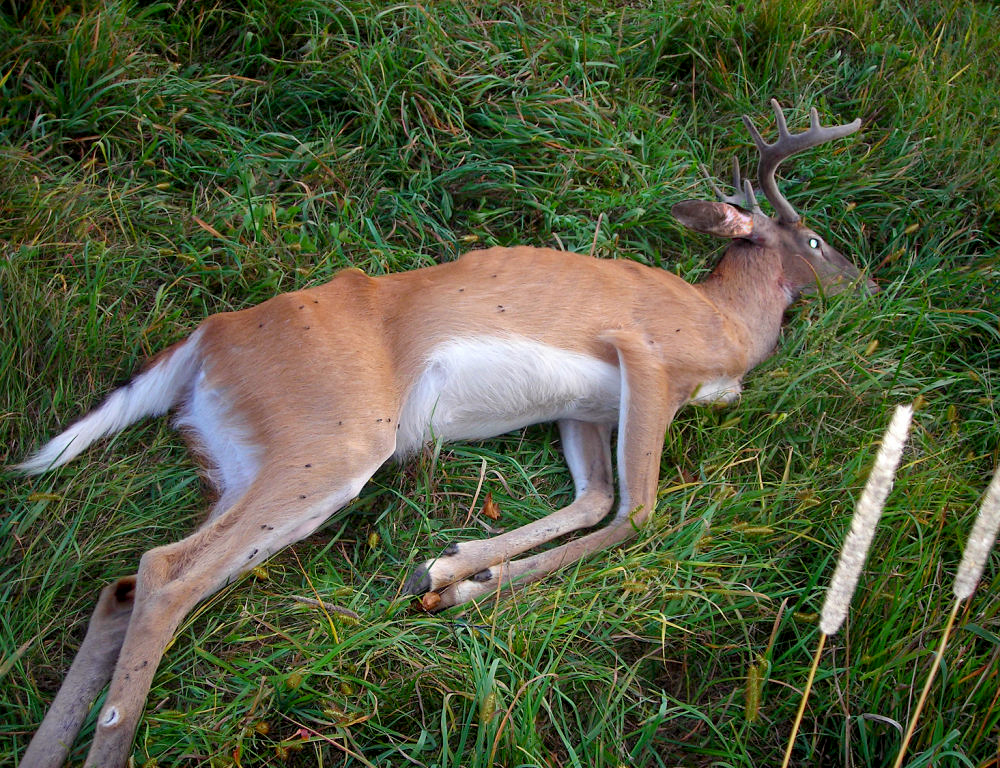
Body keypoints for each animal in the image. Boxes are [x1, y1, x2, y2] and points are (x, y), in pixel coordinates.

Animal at [13, 99, 868, 764]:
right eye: (815, 240)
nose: (866, 281)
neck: (728, 324)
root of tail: (207, 336)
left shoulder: (585, 409)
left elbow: (591, 500)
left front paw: (450, 569)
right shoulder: (646, 357)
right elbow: (637, 512)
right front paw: (464, 587)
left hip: (243, 460)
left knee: (126, 584)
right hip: (333, 444)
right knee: (164, 572)